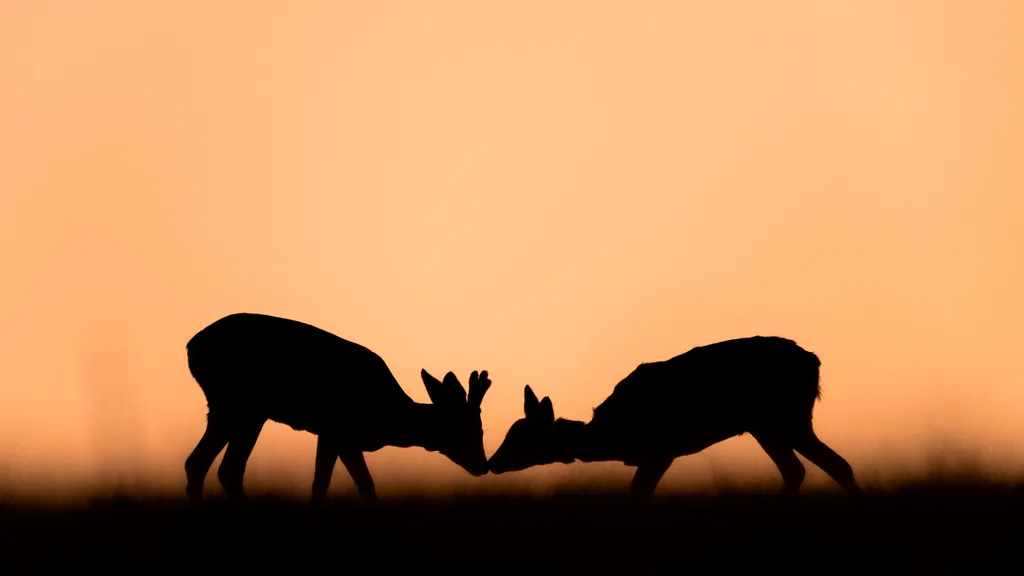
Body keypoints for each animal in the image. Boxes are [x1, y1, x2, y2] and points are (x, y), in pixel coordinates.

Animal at [186, 311, 493, 500]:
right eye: (470, 430)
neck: (390, 419)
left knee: (209, 466)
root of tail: (191, 346)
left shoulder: (331, 435)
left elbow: (326, 483)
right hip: (241, 406)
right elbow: (359, 484)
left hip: (236, 409)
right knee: (218, 467)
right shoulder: (340, 431)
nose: (483, 465)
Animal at [487, 334, 856, 496]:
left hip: (782, 419)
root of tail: (814, 362)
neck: (611, 436)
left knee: (832, 465)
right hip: (769, 425)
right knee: (801, 469)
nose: (492, 462)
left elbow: (638, 494)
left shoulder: (660, 451)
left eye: (521, 436)